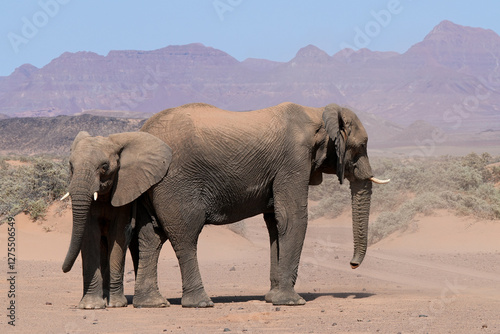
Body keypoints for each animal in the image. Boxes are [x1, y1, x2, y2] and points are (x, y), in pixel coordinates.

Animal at [61, 130, 172, 308]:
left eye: (105, 167)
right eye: (71, 166)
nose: (64, 269)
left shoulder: (124, 190)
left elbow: (118, 234)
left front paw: (116, 304)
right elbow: (90, 235)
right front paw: (91, 306)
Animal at [134, 102, 390, 308]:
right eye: (361, 146)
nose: (352, 264)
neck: (318, 113)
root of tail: (144, 130)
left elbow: (276, 223)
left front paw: (273, 297)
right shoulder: (294, 160)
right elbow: (292, 218)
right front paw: (291, 302)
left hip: (151, 183)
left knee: (151, 237)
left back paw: (152, 303)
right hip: (175, 183)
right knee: (185, 235)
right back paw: (200, 303)